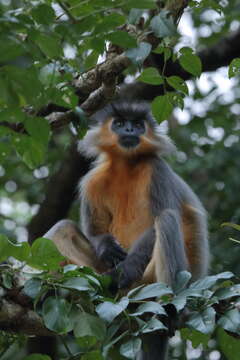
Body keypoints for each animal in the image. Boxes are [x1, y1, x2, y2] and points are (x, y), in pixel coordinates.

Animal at [43, 100, 208, 358]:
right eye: (120, 123)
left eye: (138, 125)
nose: (130, 130)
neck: (126, 165)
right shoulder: (92, 180)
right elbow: (96, 231)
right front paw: (108, 248)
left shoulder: (157, 169)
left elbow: (159, 221)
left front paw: (124, 270)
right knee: (62, 227)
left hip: (156, 282)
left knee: (167, 219)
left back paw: (169, 310)